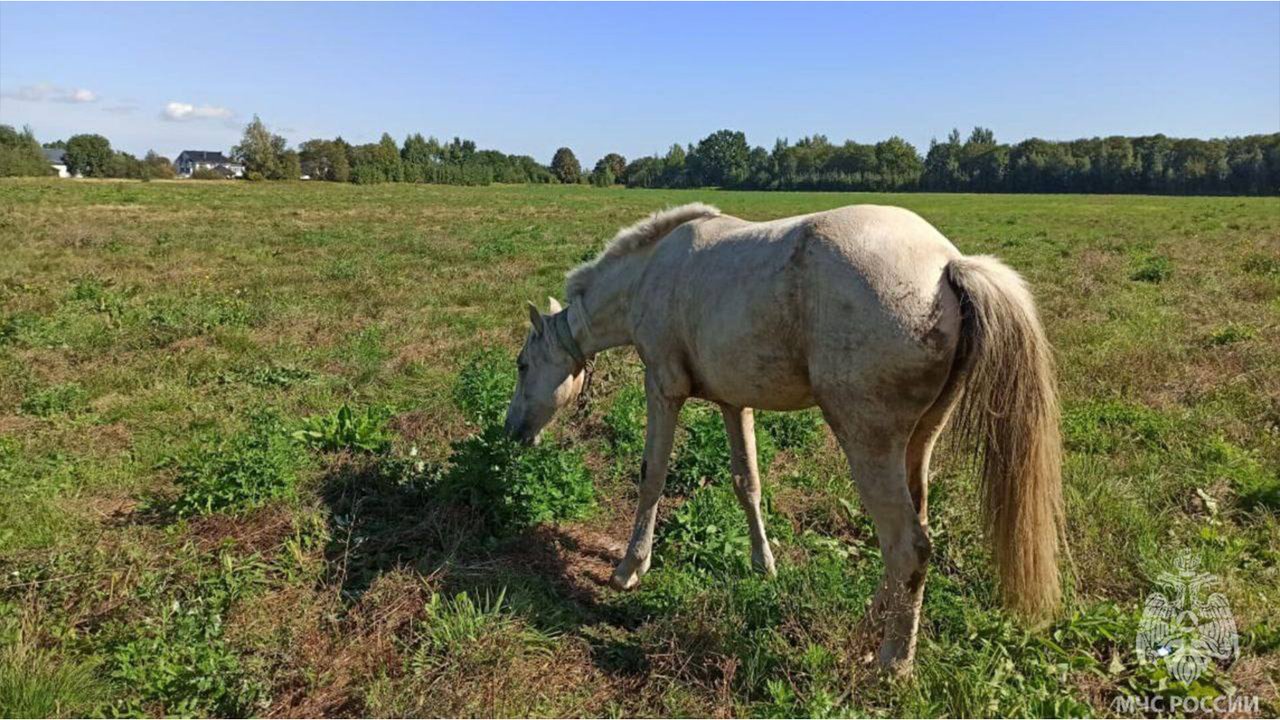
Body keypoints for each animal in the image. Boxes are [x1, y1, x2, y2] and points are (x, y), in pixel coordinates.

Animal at [504, 202, 1064, 671]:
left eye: (522, 364)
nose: (512, 432)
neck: (653, 271)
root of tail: (948, 266)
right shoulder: (734, 403)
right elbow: (746, 482)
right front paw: (763, 564)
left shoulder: (662, 388)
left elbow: (652, 478)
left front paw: (629, 568)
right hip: (918, 443)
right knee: (910, 540)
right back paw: (868, 630)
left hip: (868, 444)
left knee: (907, 547)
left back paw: (892, 663)